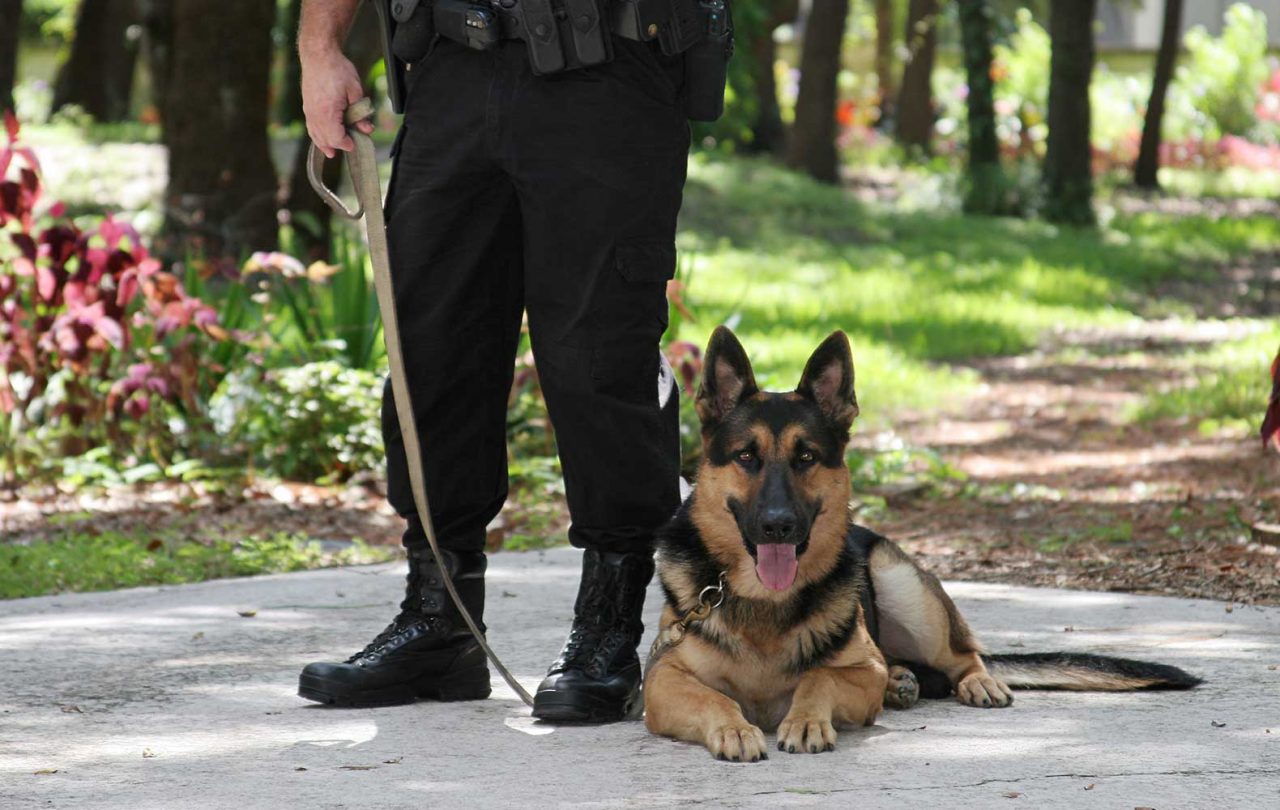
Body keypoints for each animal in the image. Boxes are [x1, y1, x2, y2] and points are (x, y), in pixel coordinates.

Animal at [645, 327, 1203, 757]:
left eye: (806, 457)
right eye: (746, 456)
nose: (778, 526)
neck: (763, 602)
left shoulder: (861, 670)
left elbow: (817, 678)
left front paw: (805, 719)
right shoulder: (662, 680)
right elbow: (715, 698)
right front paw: (735, 728)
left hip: (902, 584)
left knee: (963, 654)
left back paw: (973, 680)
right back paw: (903, 683)